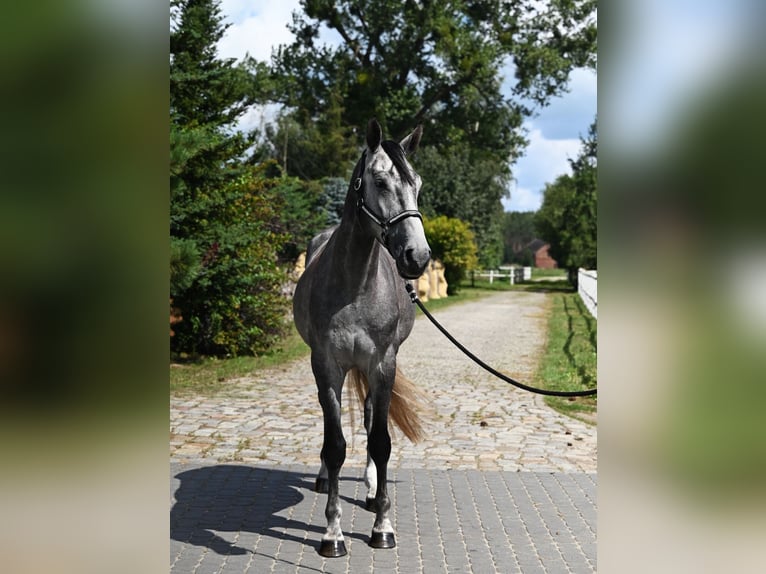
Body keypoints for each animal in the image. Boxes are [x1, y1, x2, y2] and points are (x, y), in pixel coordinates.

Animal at [293, 118, 431, 557]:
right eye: (380, 180)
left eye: (417, 183)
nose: (417, 257)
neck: (354, 284)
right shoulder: (326, 366)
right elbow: (335, 444)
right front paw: (332, 534)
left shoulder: (383, 363)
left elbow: (381, 442)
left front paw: (382, 526)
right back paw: (325, 479)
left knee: (372, 419)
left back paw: (371, 492)